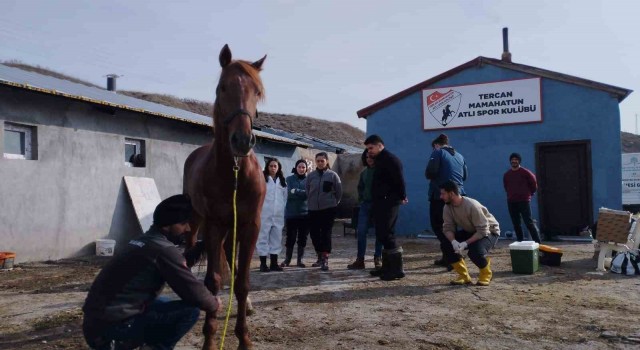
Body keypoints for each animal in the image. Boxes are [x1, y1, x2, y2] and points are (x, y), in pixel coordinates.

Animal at [184, 44, 266, 350]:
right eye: (222, 88)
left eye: (257, 91)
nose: (242, 141)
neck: (233, 174)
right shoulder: (214, 225)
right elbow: (213, 281)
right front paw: (209, 338)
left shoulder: (250, 225)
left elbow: (242, 282)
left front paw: (244, 338)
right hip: (197, 222)